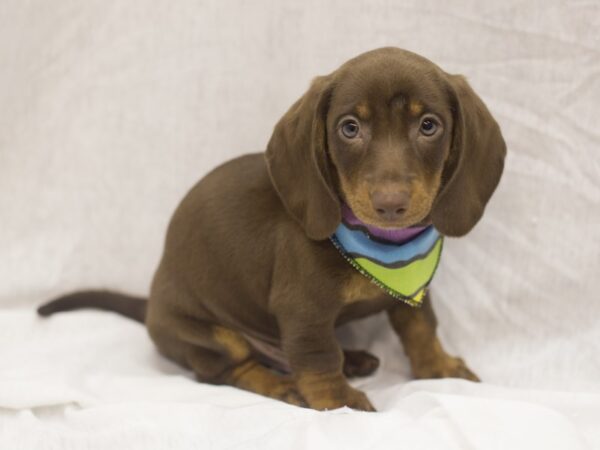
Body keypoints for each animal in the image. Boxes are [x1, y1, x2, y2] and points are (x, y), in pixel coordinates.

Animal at [37, 48, 506, 412]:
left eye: (429, 125)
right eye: (349, 128)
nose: (390, 205)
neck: (382, 246)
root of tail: (152, 303)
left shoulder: (413, 293)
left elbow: (422, 328)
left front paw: (437, 367)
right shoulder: (303, 311)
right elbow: (318, 358)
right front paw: (337, 400)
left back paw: (354, 358)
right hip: (211, 334)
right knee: (231, 368)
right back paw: (283, 385)